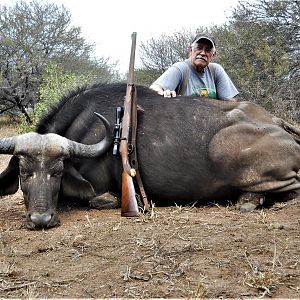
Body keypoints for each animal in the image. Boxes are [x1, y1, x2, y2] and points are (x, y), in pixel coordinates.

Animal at [0, 82, 300, 227]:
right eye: (24, 172)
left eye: (57, 172)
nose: (40, 220)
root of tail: (276, 122)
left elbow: (98, 199)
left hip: (226, 153)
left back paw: (249, 200)